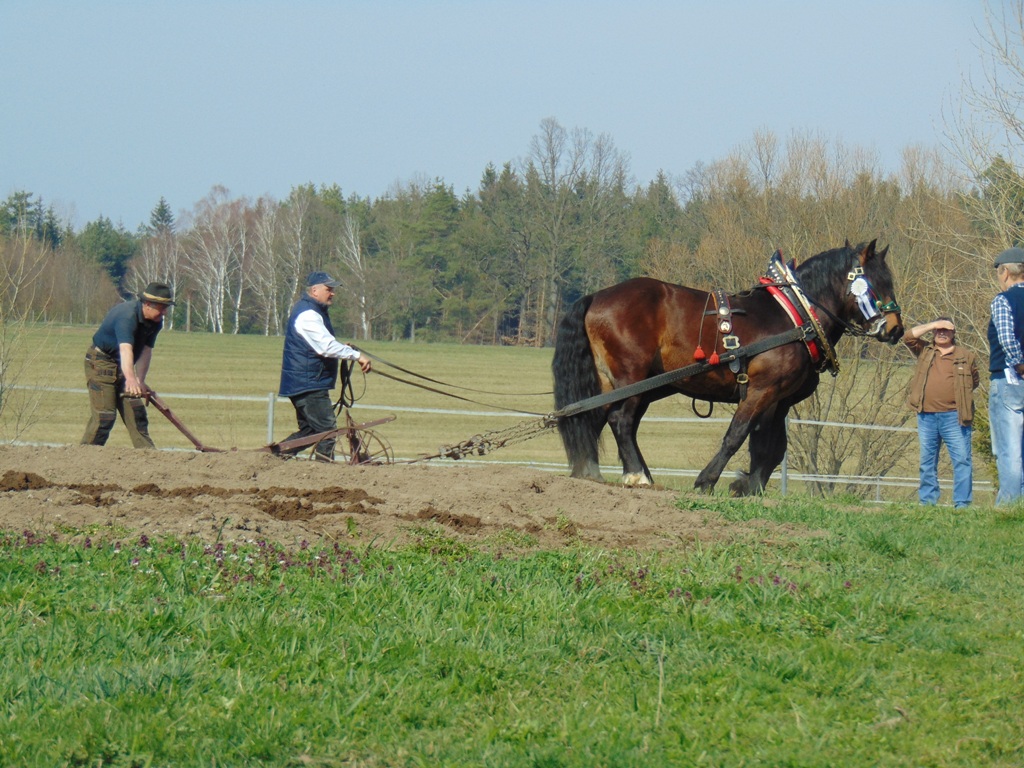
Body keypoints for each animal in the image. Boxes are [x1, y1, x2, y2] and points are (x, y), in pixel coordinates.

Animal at [552, 239, 905, 493]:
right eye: (878, 281)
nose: (896, 329)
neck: (796, 314)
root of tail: (596, 296)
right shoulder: (761, 390)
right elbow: (737, 435)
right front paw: (708, 480)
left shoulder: (778, 400)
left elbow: (771, 446)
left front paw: (751, 487)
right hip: (630, 376)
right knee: (620, 420)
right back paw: (636, 476)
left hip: (616, 381)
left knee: (594, 417)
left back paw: (592, 472)